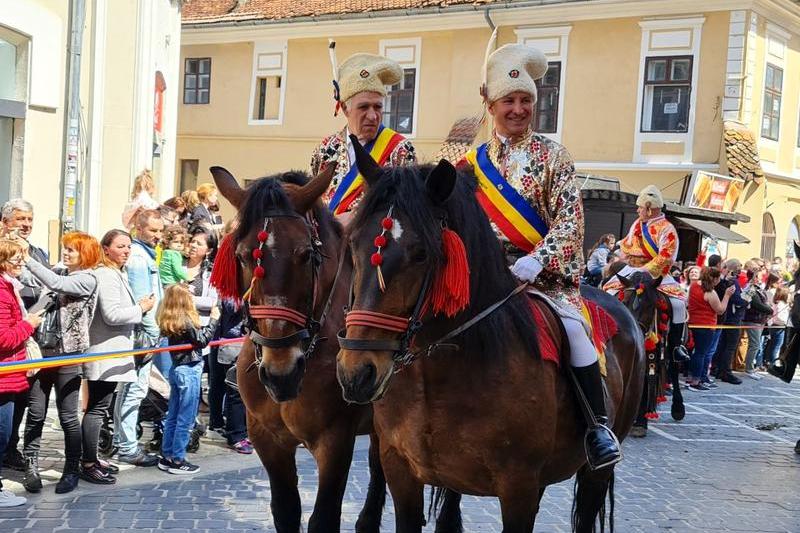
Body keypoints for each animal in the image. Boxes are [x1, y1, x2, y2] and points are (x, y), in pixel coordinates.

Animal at [209, 166, 466, 532]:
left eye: (306, 255)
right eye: (243, 257)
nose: (280, 373)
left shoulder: (335, 442)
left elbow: (323, 518)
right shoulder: (267, 439)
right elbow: (285, 511)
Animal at [336, 141, 644, 532]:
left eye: (421, 254)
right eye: (352, 246)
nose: (356, 372)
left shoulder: (518, 487)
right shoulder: (401, 472)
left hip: (595, 471)